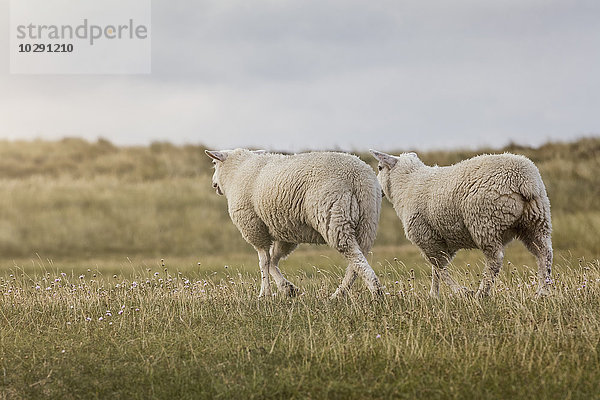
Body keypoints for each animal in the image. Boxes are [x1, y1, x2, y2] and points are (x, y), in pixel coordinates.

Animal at [206, 149, 384, 296]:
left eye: (214, 163)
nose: (213, 184)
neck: (236, 172)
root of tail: (358, 176)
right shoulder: (284, 231)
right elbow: (273, 260)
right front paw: (288, 289)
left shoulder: (254, 227)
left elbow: (264, 261)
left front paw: (265, 294)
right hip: (368, 220)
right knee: (357, 260)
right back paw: (342, 294)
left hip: (334, 217)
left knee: (353, 255)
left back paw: (374, 290)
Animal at [370, 150, 552, 296]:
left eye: (379, 167)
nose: (378, 190)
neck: (407, 184)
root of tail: (523, 179)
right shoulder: (443, 241)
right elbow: (437, 270)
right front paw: (434, 295)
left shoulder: (426, 237)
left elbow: (439, 268)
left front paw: (460, 292)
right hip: (536, 219)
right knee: (544, 253)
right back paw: (542, 292)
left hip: (484, 222)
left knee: (495, 260)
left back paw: (481, 294)